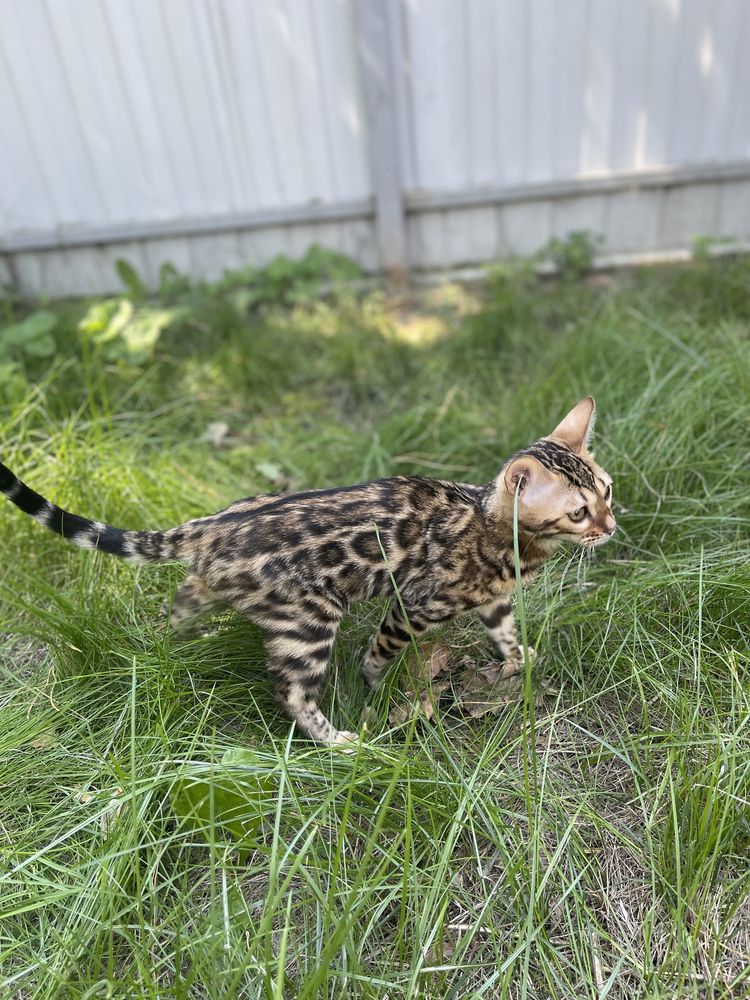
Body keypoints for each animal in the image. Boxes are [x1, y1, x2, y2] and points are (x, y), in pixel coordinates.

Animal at [1, 396, 616, 744]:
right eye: (578, 512)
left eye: (607, 491)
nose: (611, 526)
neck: (496, 528)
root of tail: (208, 527)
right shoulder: (416, 604)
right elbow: (381, 650)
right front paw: (374, 685)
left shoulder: (492, 598)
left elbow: (506, 632)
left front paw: (520, 659)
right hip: (309, 620)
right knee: (291, 694)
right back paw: (337, 740)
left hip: (217, 586)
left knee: (179, 601)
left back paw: (174, 645)